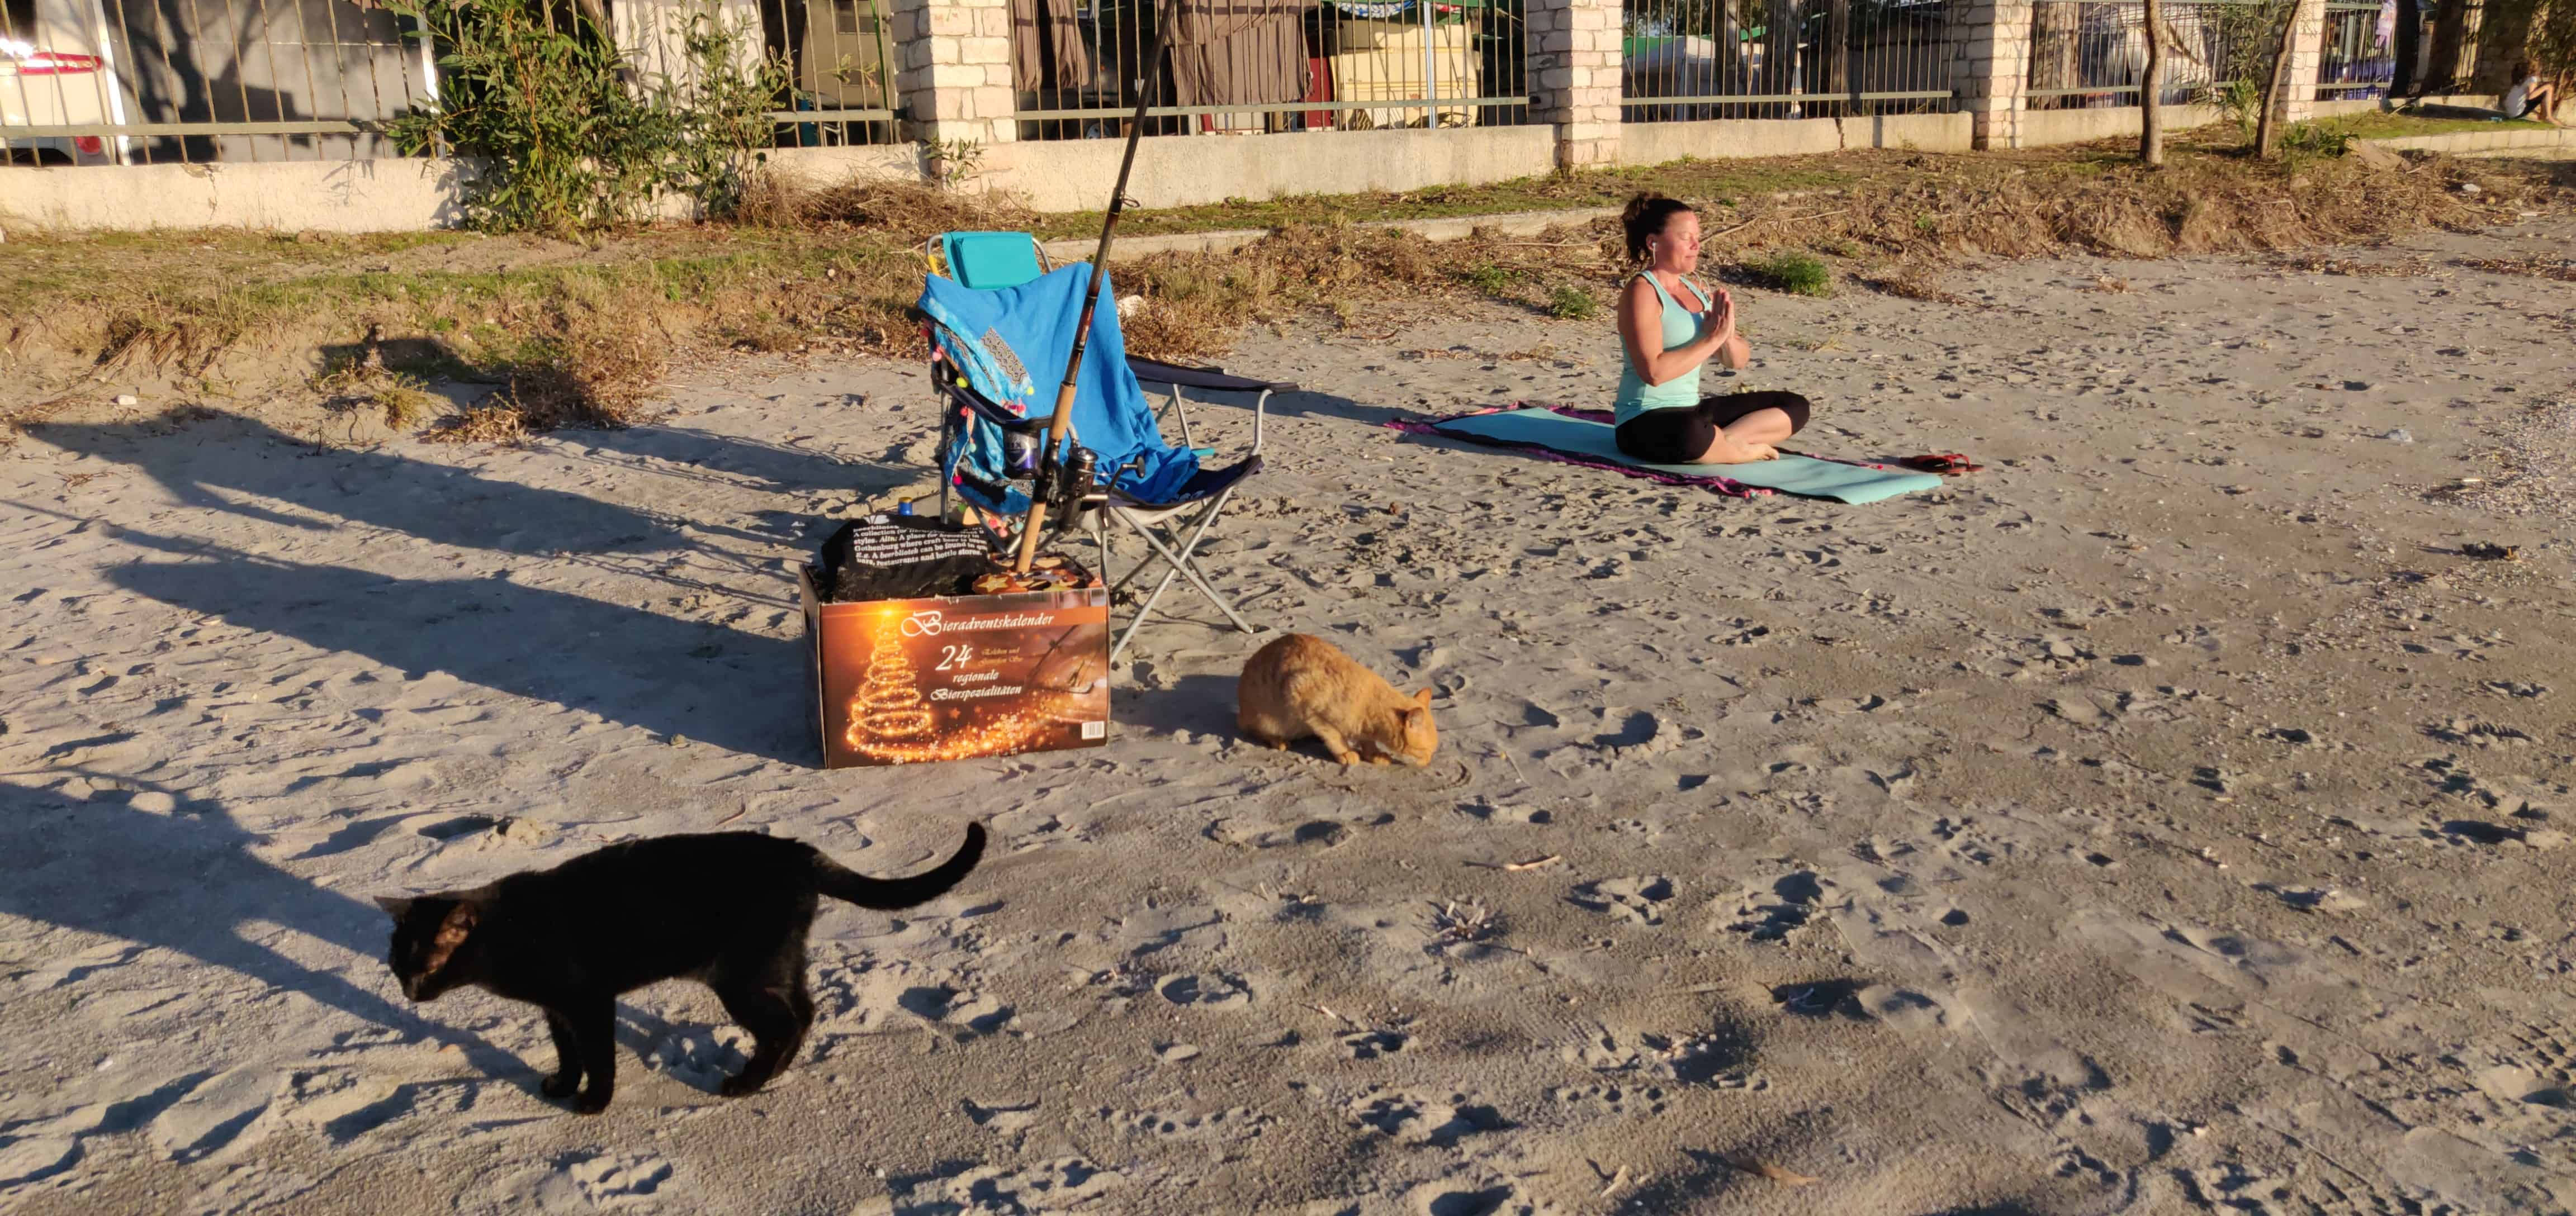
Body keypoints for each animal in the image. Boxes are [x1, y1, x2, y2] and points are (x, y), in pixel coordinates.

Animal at [376, 819, 984, 1118]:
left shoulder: (587, 1001)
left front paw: (593, 1103)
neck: (507, 931)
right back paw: (772, 1074)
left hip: (740, 975)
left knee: (784, 1023)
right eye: (396, 965)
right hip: (775, 962)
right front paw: (561, 1085)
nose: (410, 994)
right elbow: (568, 1052)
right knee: (806, 1012)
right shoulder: (556, 1008)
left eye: (426, 965)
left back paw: (744, 1083)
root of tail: (800, 851)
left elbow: (598, 1056)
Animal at [1236, 631, 1442, 762]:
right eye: (1426, 752)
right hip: (1266, 719)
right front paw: (1345, 753)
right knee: (1256, 731)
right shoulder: (1302, 697)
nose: (1430, 761)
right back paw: (1279, 741)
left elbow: (1367, 741)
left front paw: (1374, 754)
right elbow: (1333, 735)